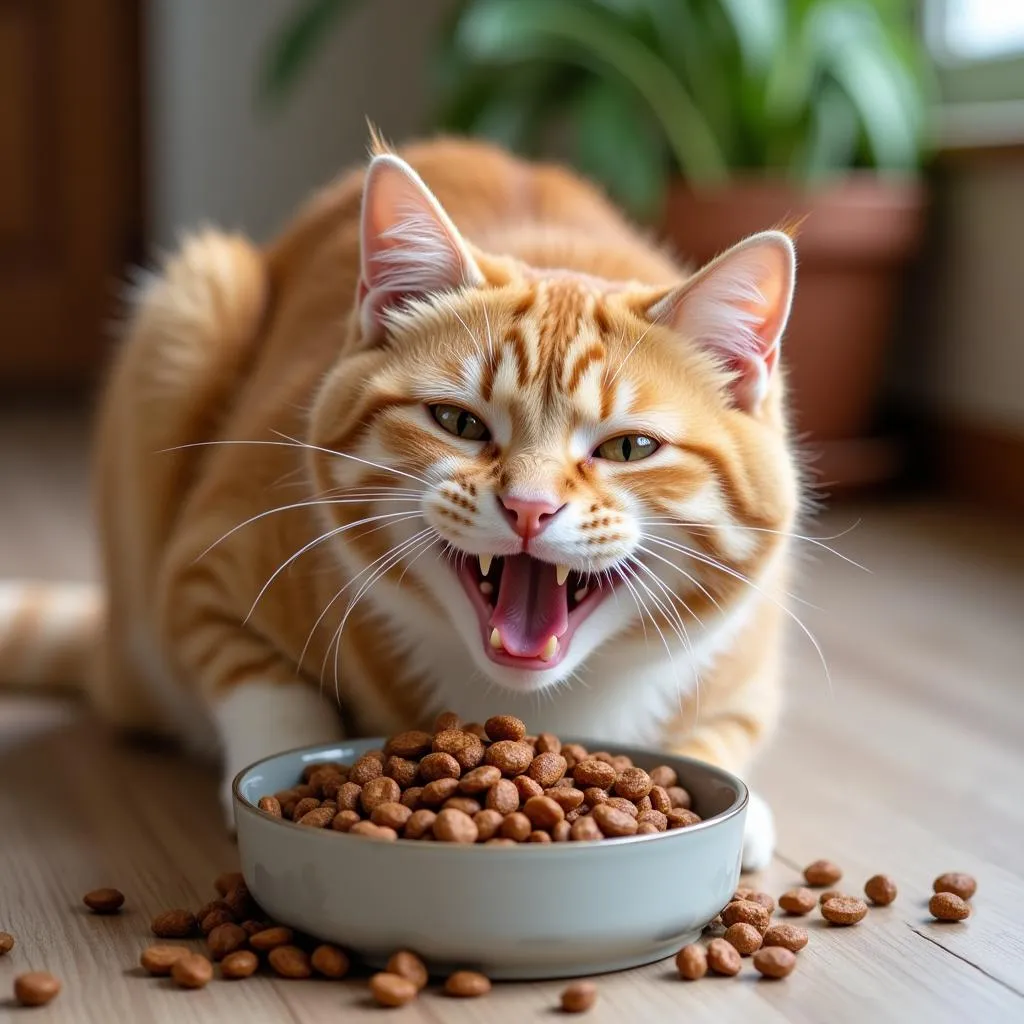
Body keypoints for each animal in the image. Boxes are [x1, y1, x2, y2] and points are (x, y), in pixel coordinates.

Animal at [0, 132, 798, 868]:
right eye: (459, 423)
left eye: (628, 449)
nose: (529, 507)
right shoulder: (204, 567)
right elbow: (262, 683)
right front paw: (275, 782)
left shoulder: (749, 665)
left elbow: (724, 732)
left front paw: (747, 819)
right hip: (190, 303)